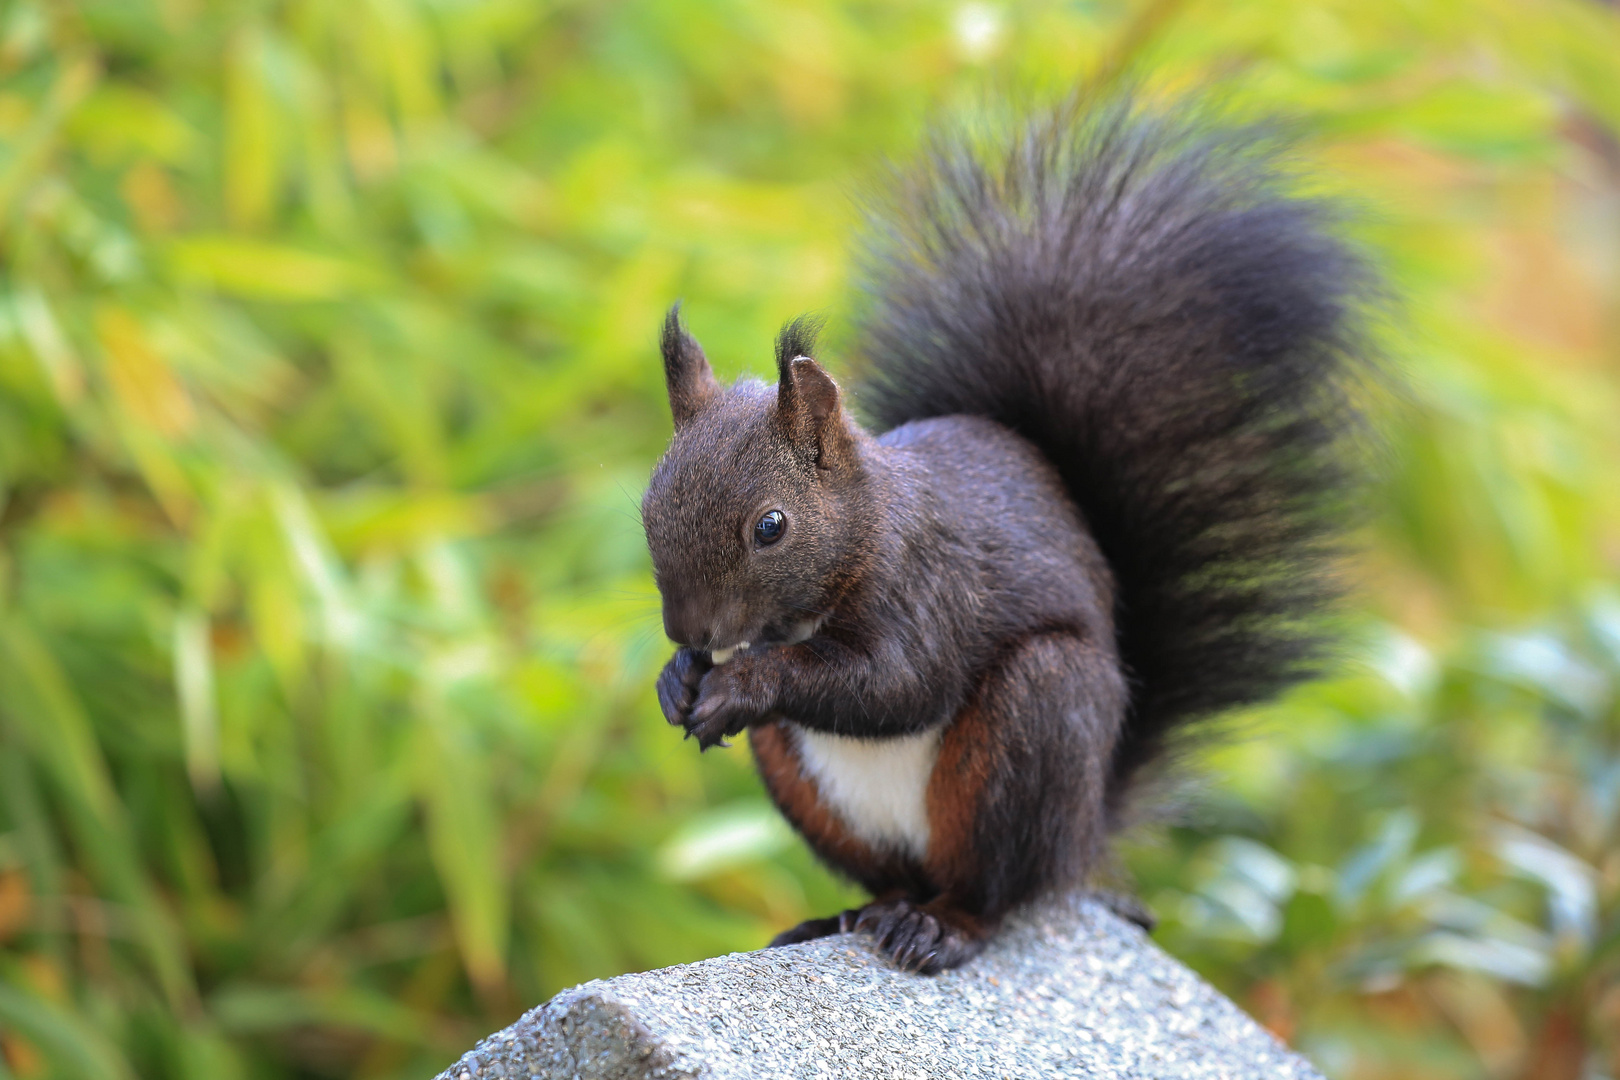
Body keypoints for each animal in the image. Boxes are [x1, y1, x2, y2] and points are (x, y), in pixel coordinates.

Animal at [638, 93, 1373, 977]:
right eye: (649, 502)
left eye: (771, 527)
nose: (689, 630)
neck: (861, 534)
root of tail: (1086, 837)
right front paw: (678, 679)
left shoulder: (928, 589)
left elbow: (896, 685)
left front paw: (742, 682)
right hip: (807, 784)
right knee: (891, 878)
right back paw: (840, 916)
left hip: (1034, 726)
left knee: (997, 891)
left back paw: (939, 927)